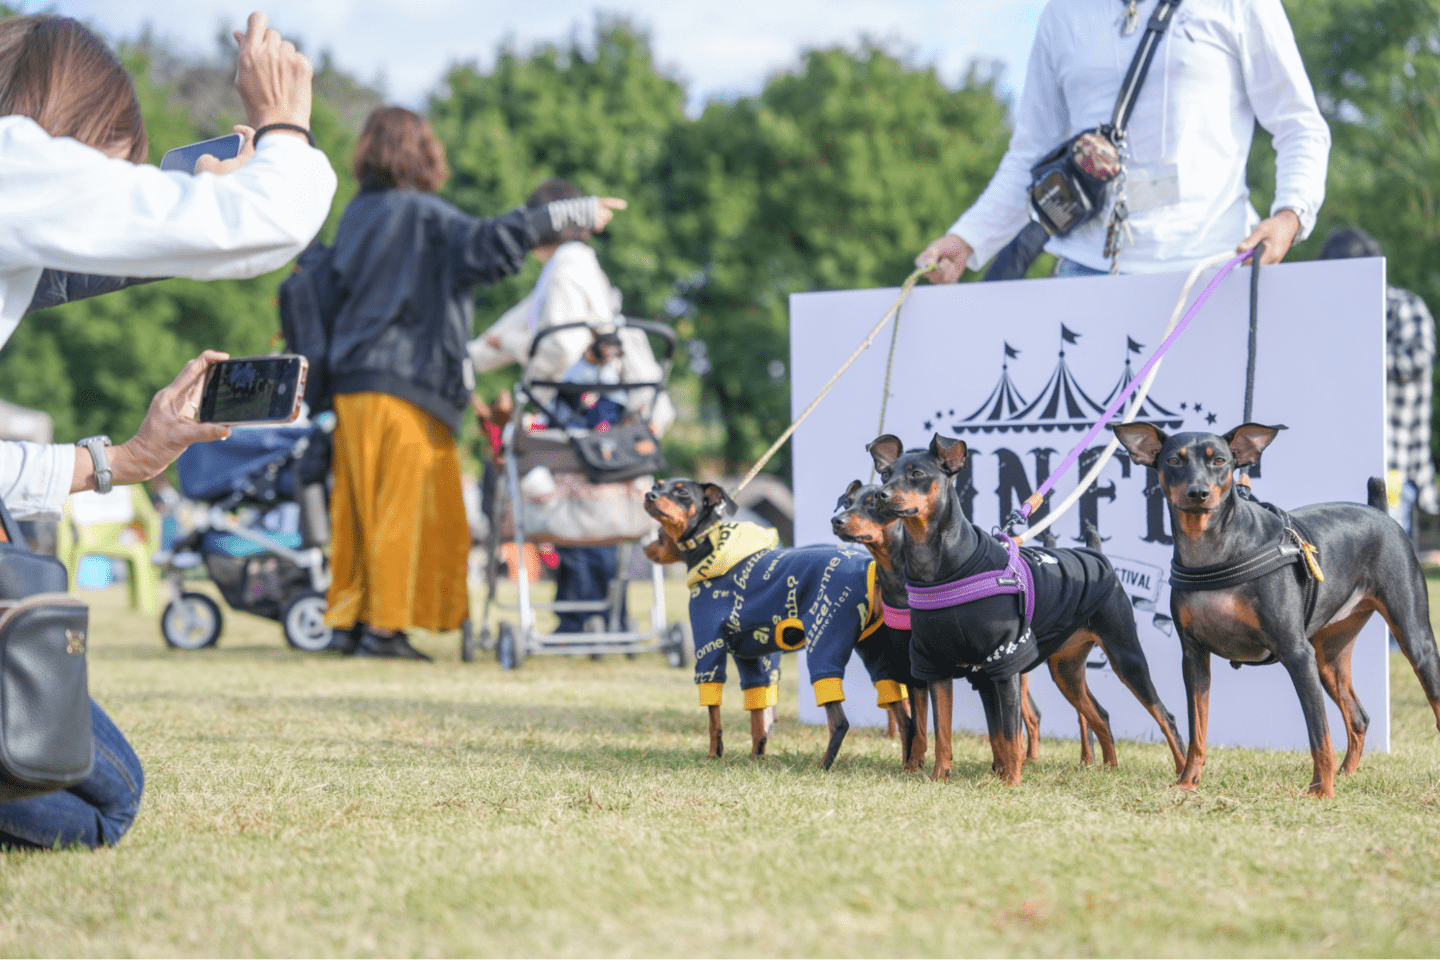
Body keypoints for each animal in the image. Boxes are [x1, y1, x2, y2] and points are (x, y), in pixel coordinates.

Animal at [642, 477, 898, 771]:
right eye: (658, 486)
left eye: (682, 492)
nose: (648, 495)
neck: (713, 550)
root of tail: (869, 565)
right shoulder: (751, 658)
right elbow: (757, 716)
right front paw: (757, 756)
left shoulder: (709, 648)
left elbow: (713, 717)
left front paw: (713, 754)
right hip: (876, 650)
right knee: (902, 706)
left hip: (824, 643)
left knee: (840, 722)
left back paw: (823, 765)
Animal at [869, 434, 1186, 788]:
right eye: (885, 475)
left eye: (916, 474)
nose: (881, 496)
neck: (940, 569)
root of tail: (1096, 554)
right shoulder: (937, 666)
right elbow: (944, 734)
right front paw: (941, 778)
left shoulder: (1004, 662)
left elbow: (1009, 734)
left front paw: (1011, 782)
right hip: (1065, 670)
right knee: (1100, 715)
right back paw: (1110, 769)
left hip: (1125, 656)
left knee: (1165, 715)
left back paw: (1183, 774)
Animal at [1117, 423, 1440, 800]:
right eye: (1172, 461)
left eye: (1219, 461)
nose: (1198, 493)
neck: (1212, 552)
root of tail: (1379, 512)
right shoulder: (1194, 657)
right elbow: (1197, 730)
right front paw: (1187, 781)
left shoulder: (1297, 654)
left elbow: (1319, 735)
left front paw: (1320, 792)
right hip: (1329, 658)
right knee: (1359, 717)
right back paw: (1346, 775)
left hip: (1413, 640)